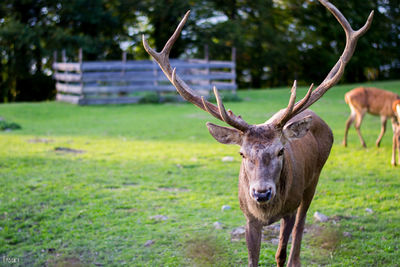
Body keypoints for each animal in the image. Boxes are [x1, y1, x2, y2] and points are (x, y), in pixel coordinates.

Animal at [141, 1, 372, 266]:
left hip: (313, 179)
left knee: (302, 223)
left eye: (281, 151)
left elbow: (280, 252)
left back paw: (296, 258)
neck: (267, 212)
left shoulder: (290, 208)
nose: (261, 192)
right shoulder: (248, 216)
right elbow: (252, 259)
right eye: (242, 153)